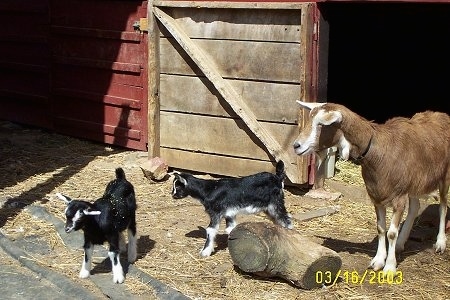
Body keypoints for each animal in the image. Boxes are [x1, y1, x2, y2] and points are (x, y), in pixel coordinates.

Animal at [294, 101, 448, 276]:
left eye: (321, 124)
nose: (296, 145)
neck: (377, 151)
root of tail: (441, 115)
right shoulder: (377, 196)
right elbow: (381, 229)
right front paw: (378, 261)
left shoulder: (398, 197)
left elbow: (391, 233)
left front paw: (389, 267)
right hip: (413, 182)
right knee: (415, 207)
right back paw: (401, 243)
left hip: (444, 176)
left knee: (443, 205)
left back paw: (440, 243)